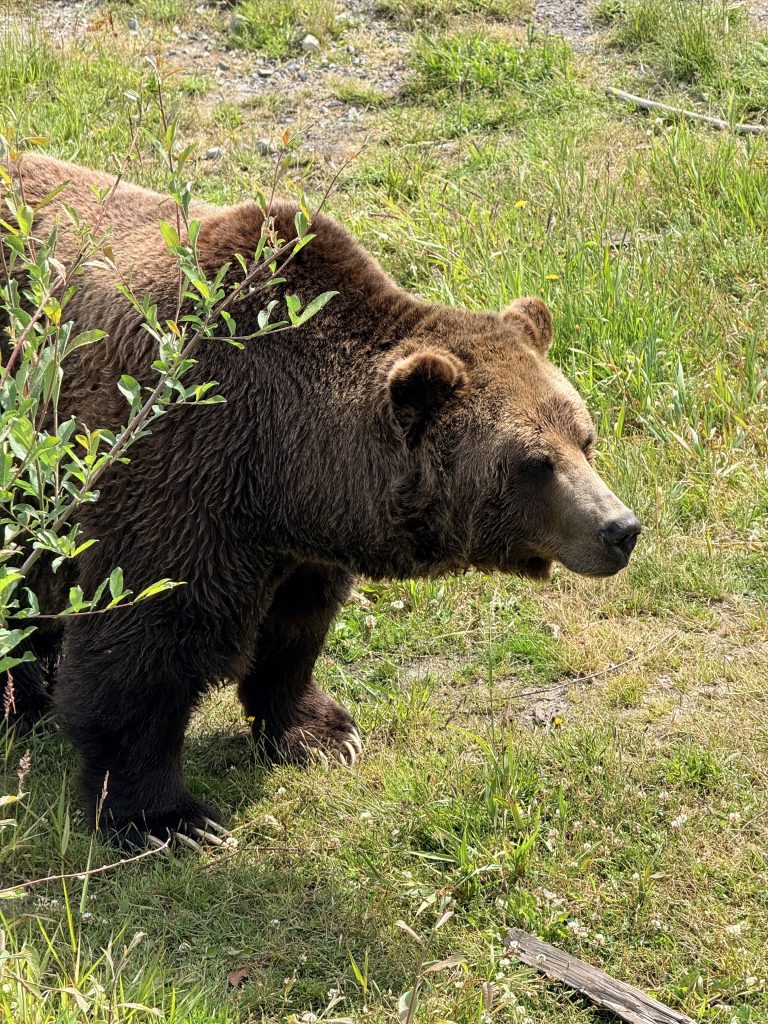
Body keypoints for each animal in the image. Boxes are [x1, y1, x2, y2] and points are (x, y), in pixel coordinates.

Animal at [1, 154, 640, 846]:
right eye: (535, 463)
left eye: (585, 438)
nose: (620, 528)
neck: (286, 460)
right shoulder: (177, 467)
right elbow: (141, 647)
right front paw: (167, 817)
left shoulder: (299, 532)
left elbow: (296, 627)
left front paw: (323, 733)